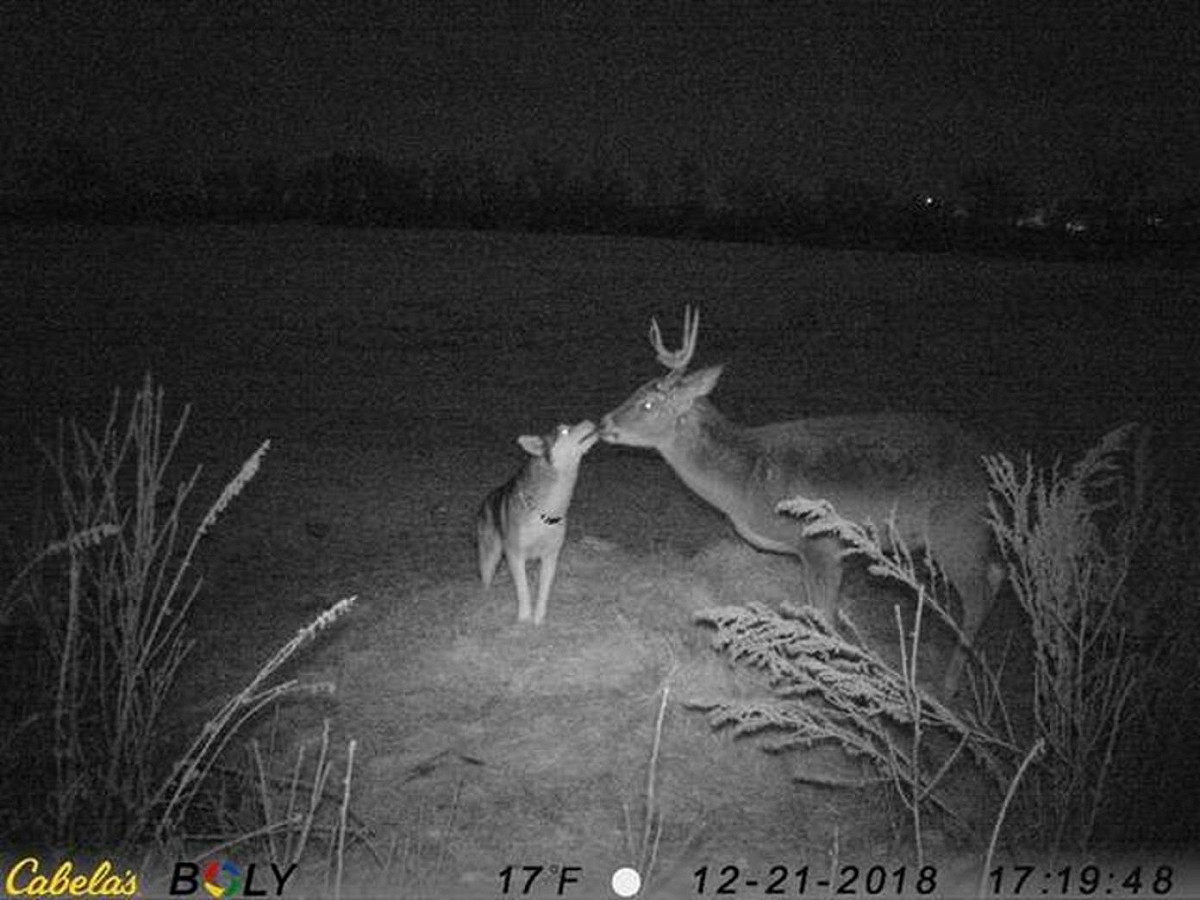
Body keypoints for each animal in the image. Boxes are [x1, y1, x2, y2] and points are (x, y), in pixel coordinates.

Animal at [477, 420, 599, 626]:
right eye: (564, 431)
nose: (589, 422)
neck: (546, 513)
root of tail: (487, 497)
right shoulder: (515, 554)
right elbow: (523, 590)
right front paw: (524, 618)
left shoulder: (551, 555)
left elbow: (543, 590)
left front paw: (539, 619)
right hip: (490, 556)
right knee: (486, 579)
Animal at [599, 307, 1002, 694]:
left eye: (647, 404)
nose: (603, 424)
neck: (745, 480)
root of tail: (990, 465)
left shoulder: (821, 543)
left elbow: (825, 618)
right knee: (996, 573)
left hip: (956, 528)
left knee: (977, 597)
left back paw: (948, 684)